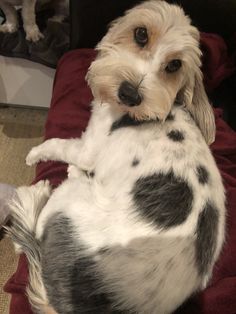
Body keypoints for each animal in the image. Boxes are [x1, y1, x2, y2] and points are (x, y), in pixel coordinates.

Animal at [6, 1, 225, 312]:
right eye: (141, 34)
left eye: (173, 65)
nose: (129, 94)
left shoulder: (87, 146)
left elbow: (59, 144)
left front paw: (35, 153)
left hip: (69, 202)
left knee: (33, 230)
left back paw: (37, 195)